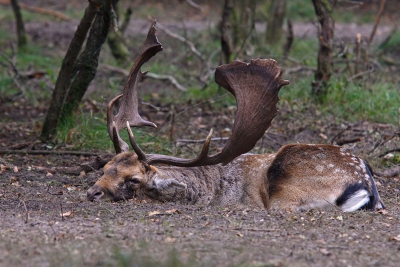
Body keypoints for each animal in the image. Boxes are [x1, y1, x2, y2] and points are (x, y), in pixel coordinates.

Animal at [86, 21, 384, 214]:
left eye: (134, 180)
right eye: (105, 168)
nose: (92, 192)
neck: (211, 189)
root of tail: (365, 184)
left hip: (289, 189)